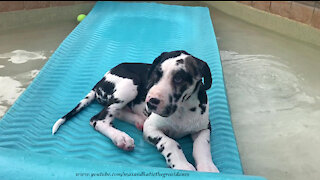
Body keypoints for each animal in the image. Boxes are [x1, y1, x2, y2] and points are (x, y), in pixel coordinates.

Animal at [51, 50, 219, 173]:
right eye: (155, 74)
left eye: (179, 79)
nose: (150, 102)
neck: (182, 110)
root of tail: (100, 81)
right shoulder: (152, 128)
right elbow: (170, 142)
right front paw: (182, 165)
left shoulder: (204, 128)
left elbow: (202, 145)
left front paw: (208, 167)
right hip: (130, 84)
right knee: (98, 119)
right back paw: (121, 138)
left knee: (118, 113)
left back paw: (137, 121)